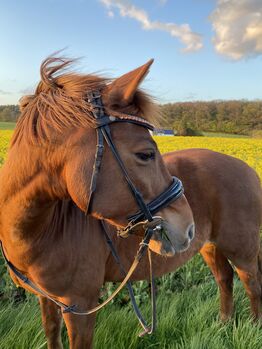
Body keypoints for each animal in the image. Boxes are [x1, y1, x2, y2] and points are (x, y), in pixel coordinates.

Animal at [0, 55, 194, 346]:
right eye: (146, 154)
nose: (189, 227)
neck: (39, 233)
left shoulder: (81, 307)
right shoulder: (48, 300)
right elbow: (52, 334)